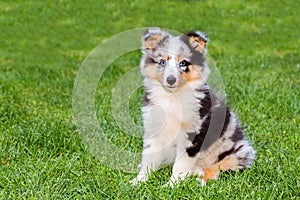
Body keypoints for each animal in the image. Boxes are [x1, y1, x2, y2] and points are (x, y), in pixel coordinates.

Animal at [130, 27, 254, 186]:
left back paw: (200, 180)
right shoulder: (153, 128)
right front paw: (138, 181)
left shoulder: (192, 135)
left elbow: (180, 164)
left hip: (233, 155)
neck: (172, 97)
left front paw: (171, 185)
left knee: (217, 171)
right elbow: (148, 159)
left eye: (183, 63)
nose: (171, 80)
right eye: (162, 62)